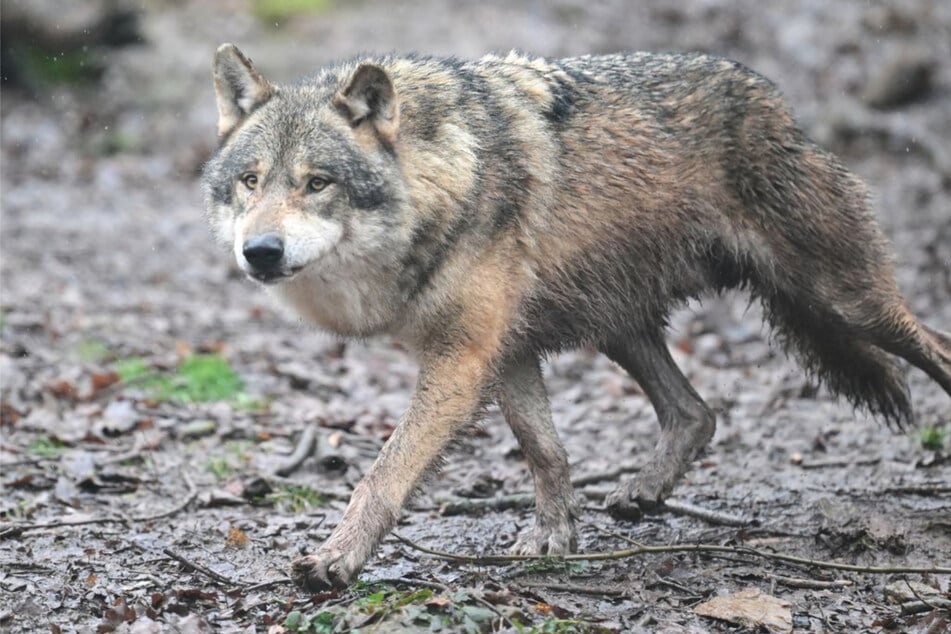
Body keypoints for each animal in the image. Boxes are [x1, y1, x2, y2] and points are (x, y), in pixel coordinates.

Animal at [201, 44, 951, 590]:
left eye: (317, 183)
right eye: (250, 182)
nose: (259, 252)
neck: (443, 182)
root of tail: (778, 105)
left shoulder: (460, 359)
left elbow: (382, 475)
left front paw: (336, 559)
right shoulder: (505, 351)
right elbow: (545, 450)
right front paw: (554, 538)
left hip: (845, 303)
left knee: (935, 343)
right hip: (618, 325)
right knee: (696, 413)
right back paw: (642, 493)